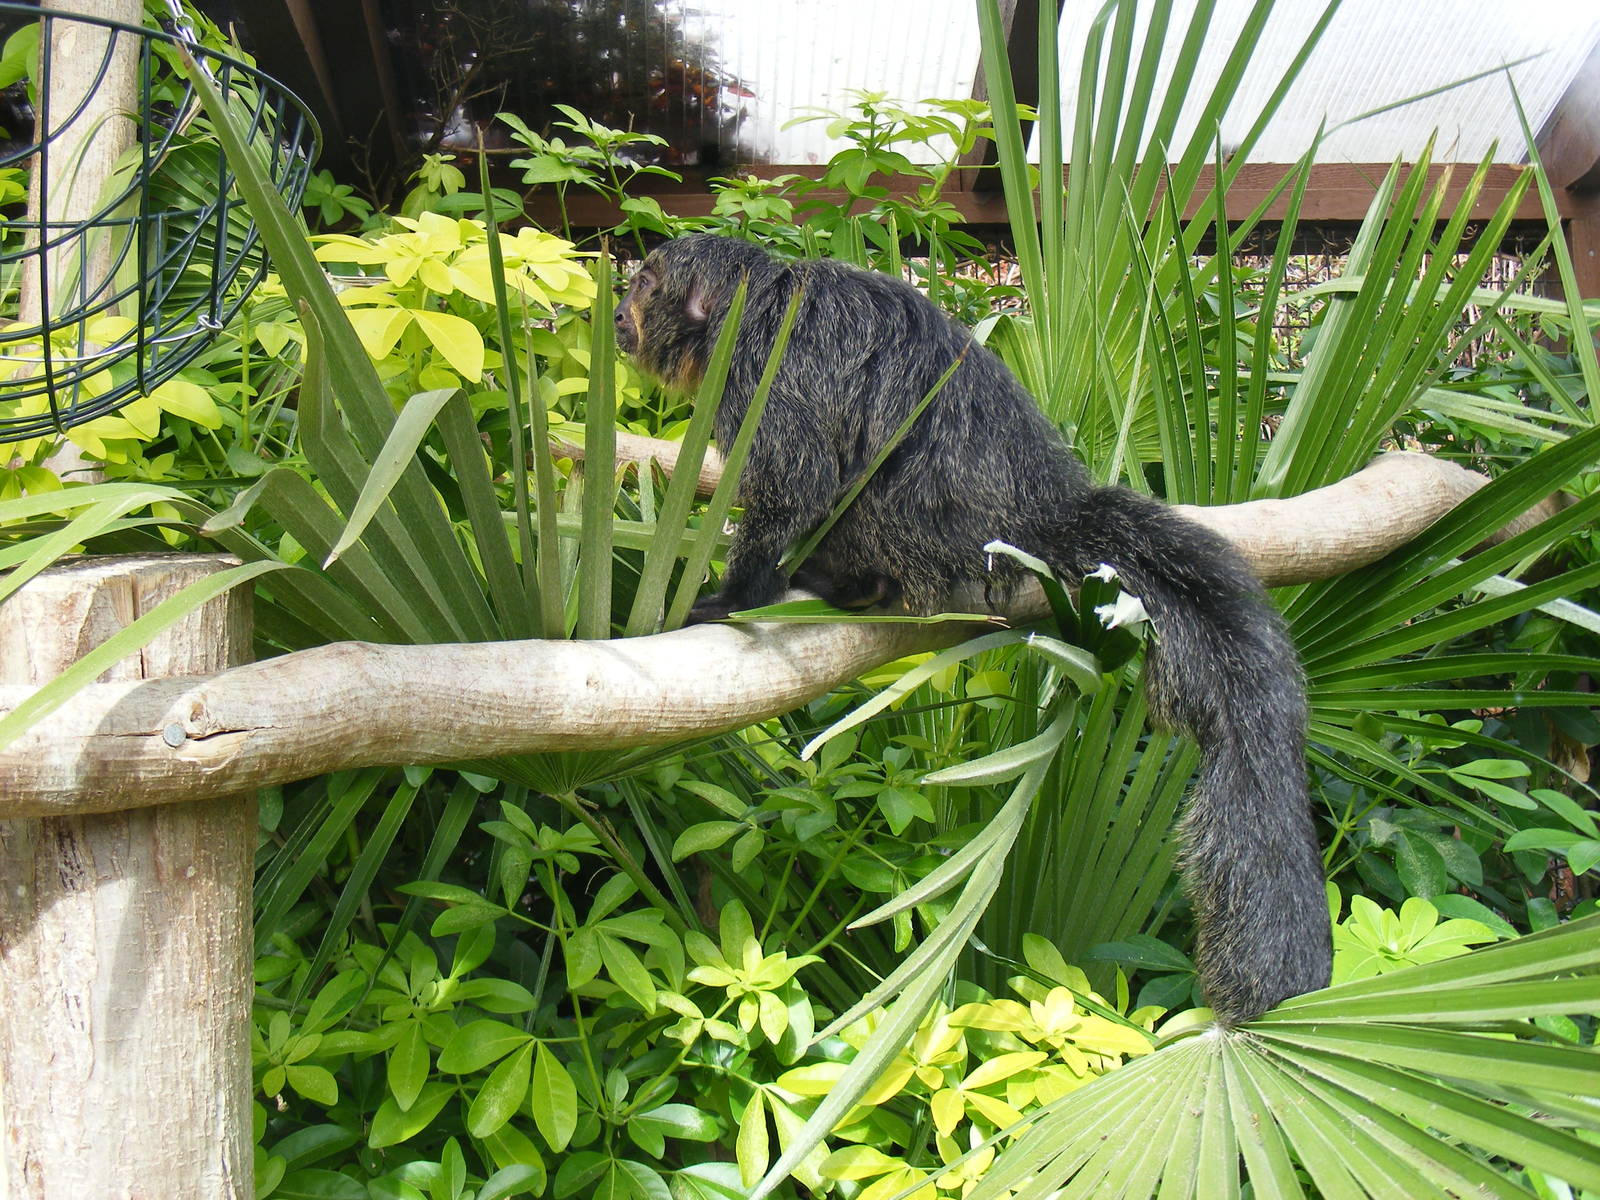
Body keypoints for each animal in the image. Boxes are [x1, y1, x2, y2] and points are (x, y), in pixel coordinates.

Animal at [614, 233, 1332, 1025]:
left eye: (642, 285)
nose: (615, 313)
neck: (754, 303)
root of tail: (1035, 510)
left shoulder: (764, 363)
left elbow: (796, 479)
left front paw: (739, 594)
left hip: (909, 529)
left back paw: (855, 584)